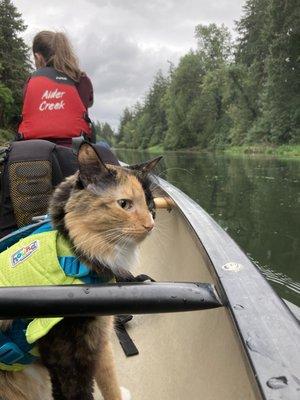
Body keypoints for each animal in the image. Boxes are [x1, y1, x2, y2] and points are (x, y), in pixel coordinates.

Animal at [0, 144, 162, 400]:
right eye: (124, 204)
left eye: (151, 205)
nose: (150, 225)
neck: (74, 253)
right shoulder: (66, 356)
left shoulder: (100, 337)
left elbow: (108, 380)